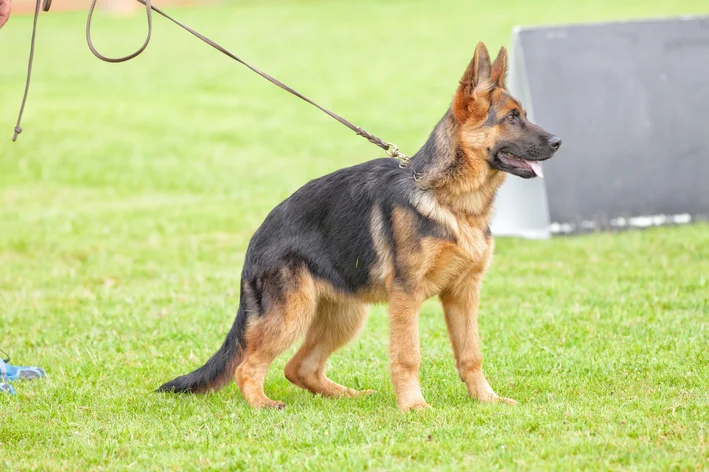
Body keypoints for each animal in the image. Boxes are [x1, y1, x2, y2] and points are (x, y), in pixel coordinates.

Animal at [159, 43, 560, 410]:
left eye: (522, 115)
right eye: (512, 118)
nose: (558, 141)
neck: (450, 199)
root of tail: (256, 239)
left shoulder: (463, 294)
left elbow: (471, 353)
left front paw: (487, 400)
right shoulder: (406, 297)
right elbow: (408, 356)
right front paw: (414, 406)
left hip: (345, 315)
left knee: (299, 367)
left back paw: (347, 396)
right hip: (292, 314)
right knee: (249, 366)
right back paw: (263, 404)